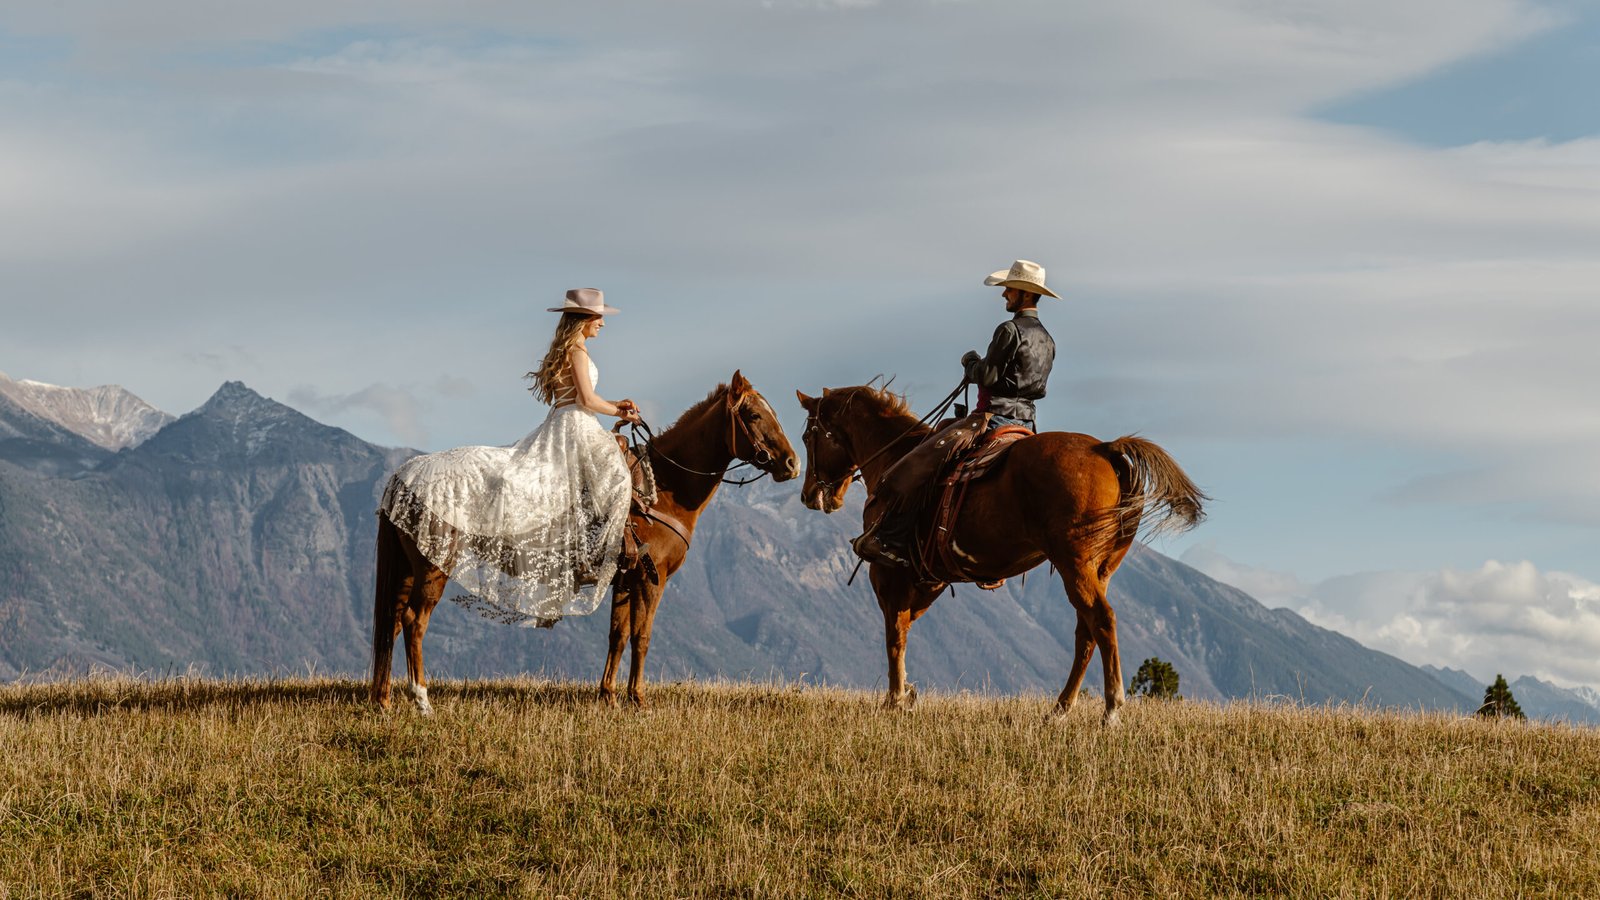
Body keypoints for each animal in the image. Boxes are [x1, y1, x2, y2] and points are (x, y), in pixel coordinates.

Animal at [371, 371, 798, 713]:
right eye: (754, 415)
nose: (793, 464)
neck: (662, 489)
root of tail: (405, 476)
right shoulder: (653, 578)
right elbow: (642, 637)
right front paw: (637, 699)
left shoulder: (626, 578)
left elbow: (618, 635)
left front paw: (607, 695)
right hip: (433, 568)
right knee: (414, 621)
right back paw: (421, 699)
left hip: (409, 568)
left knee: (393, 621)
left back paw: (385, 699)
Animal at [795, 385, 1205, 725]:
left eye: (807, 436)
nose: (810, 495)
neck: (894, 454)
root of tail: (1105, 449)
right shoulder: (930, 579)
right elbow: (907, 627)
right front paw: (907, 694)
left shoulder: (888, 575)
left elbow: (894, 635)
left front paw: (895, 699)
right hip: (1099, 570)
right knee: (1085, 632)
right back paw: (1060, 708)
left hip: (1074, 566)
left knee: (1101, 621)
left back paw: (1111, 709)